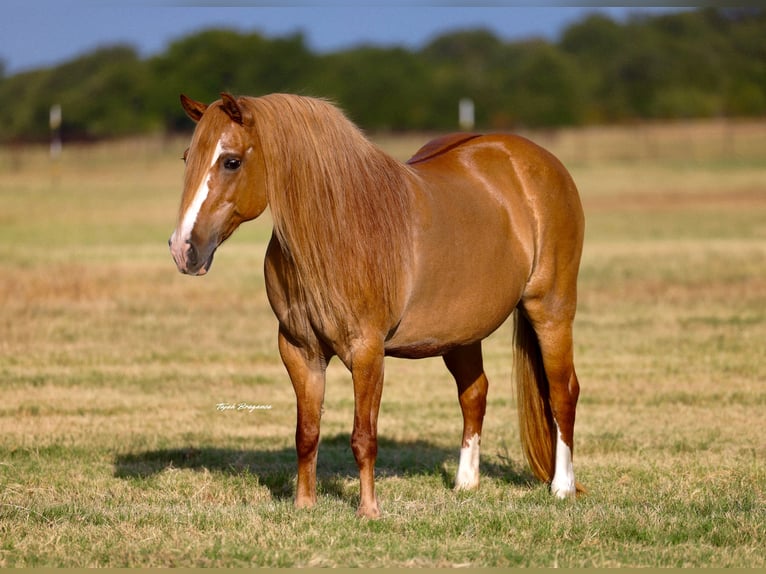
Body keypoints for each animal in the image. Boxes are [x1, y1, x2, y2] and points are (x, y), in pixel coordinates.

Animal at [169, 92, 585, 518]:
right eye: (188, 158)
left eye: (231, 161)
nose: (183, 249)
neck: (337, 230)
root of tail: (537, 161)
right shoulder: (300, 350)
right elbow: (307, 433)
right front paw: (304, 504)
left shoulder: (367, 351)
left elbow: (363, 436)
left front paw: (368, 510)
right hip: (462, 334)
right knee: (474, 394)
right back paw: (465, 483)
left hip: (550, 309)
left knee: (562, 392)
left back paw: (562, 487)